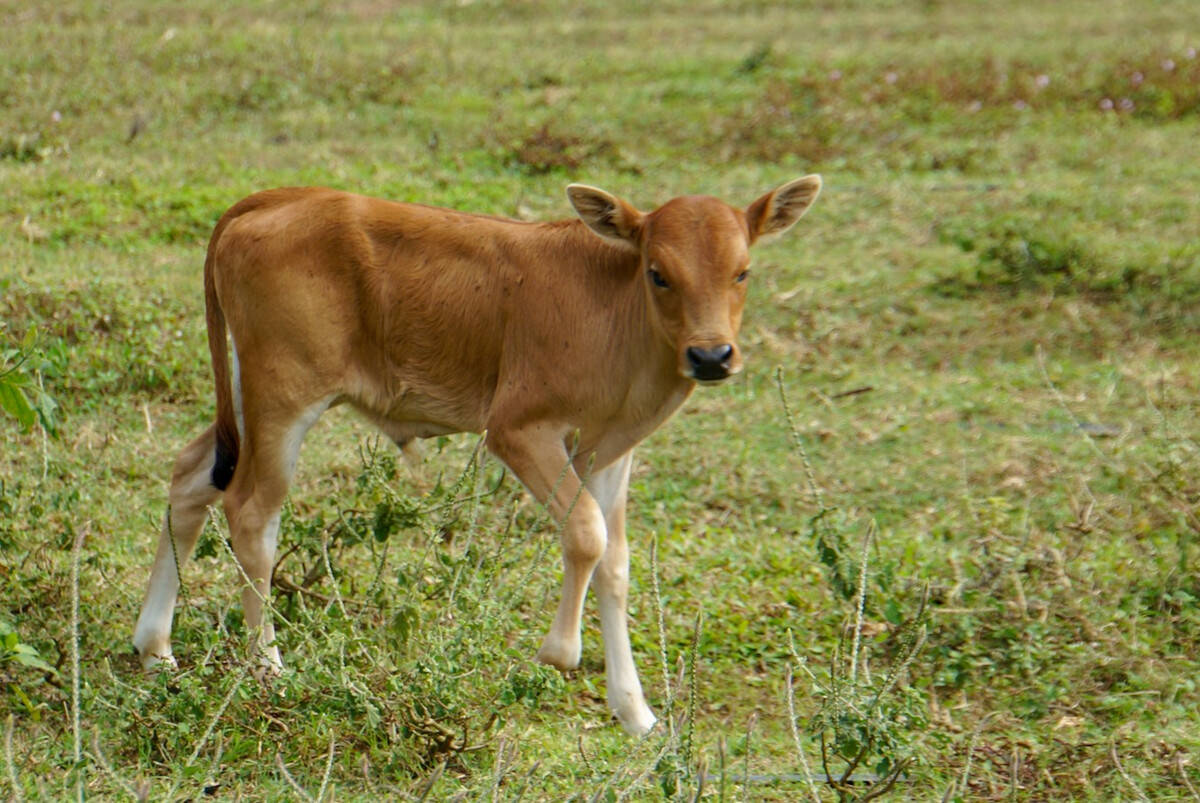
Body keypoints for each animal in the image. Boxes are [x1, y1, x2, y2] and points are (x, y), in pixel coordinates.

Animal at [133, 176, 825, 734]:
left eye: (742, 271)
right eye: (658, 271)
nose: (710, 356)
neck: (610, 304)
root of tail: (275, 199)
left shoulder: (609, 449)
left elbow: (616, 561)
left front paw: (635, 712)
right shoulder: (519, 429)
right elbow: (585, 534)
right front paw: (559, 653)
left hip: (246, 398)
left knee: (191, 477)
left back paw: (156, 647)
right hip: (284, 398)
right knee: (252, 513)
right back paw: (269, 670)